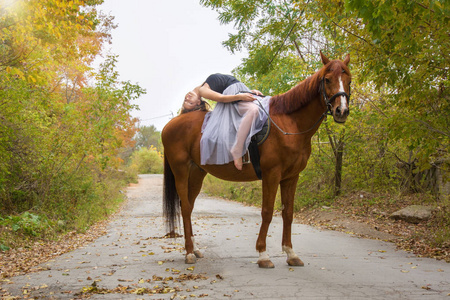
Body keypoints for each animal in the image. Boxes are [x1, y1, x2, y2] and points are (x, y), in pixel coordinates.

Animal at [162, 52, 352, 268]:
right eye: (327, 79)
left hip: (196, 173)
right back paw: (188, 253)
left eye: (349, 80)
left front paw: (291, 253)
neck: (290, 123)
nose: (341, 111)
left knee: (189, 206)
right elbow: (267, 212)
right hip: (180, 171)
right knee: (185, 208)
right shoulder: (272, 174)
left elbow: (288, 213)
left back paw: (195, 249)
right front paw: (263, 255)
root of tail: (170, 125)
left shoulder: (291, 176)